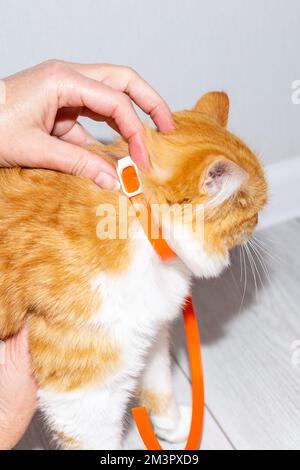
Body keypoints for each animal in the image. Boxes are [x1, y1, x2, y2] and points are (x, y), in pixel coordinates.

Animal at [0, 92, 268, 448]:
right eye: (253, 209)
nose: (259, 221)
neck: (140, 217)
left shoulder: (148, 330)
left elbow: (159, 383)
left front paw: (173, 426)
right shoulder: (85, 390)